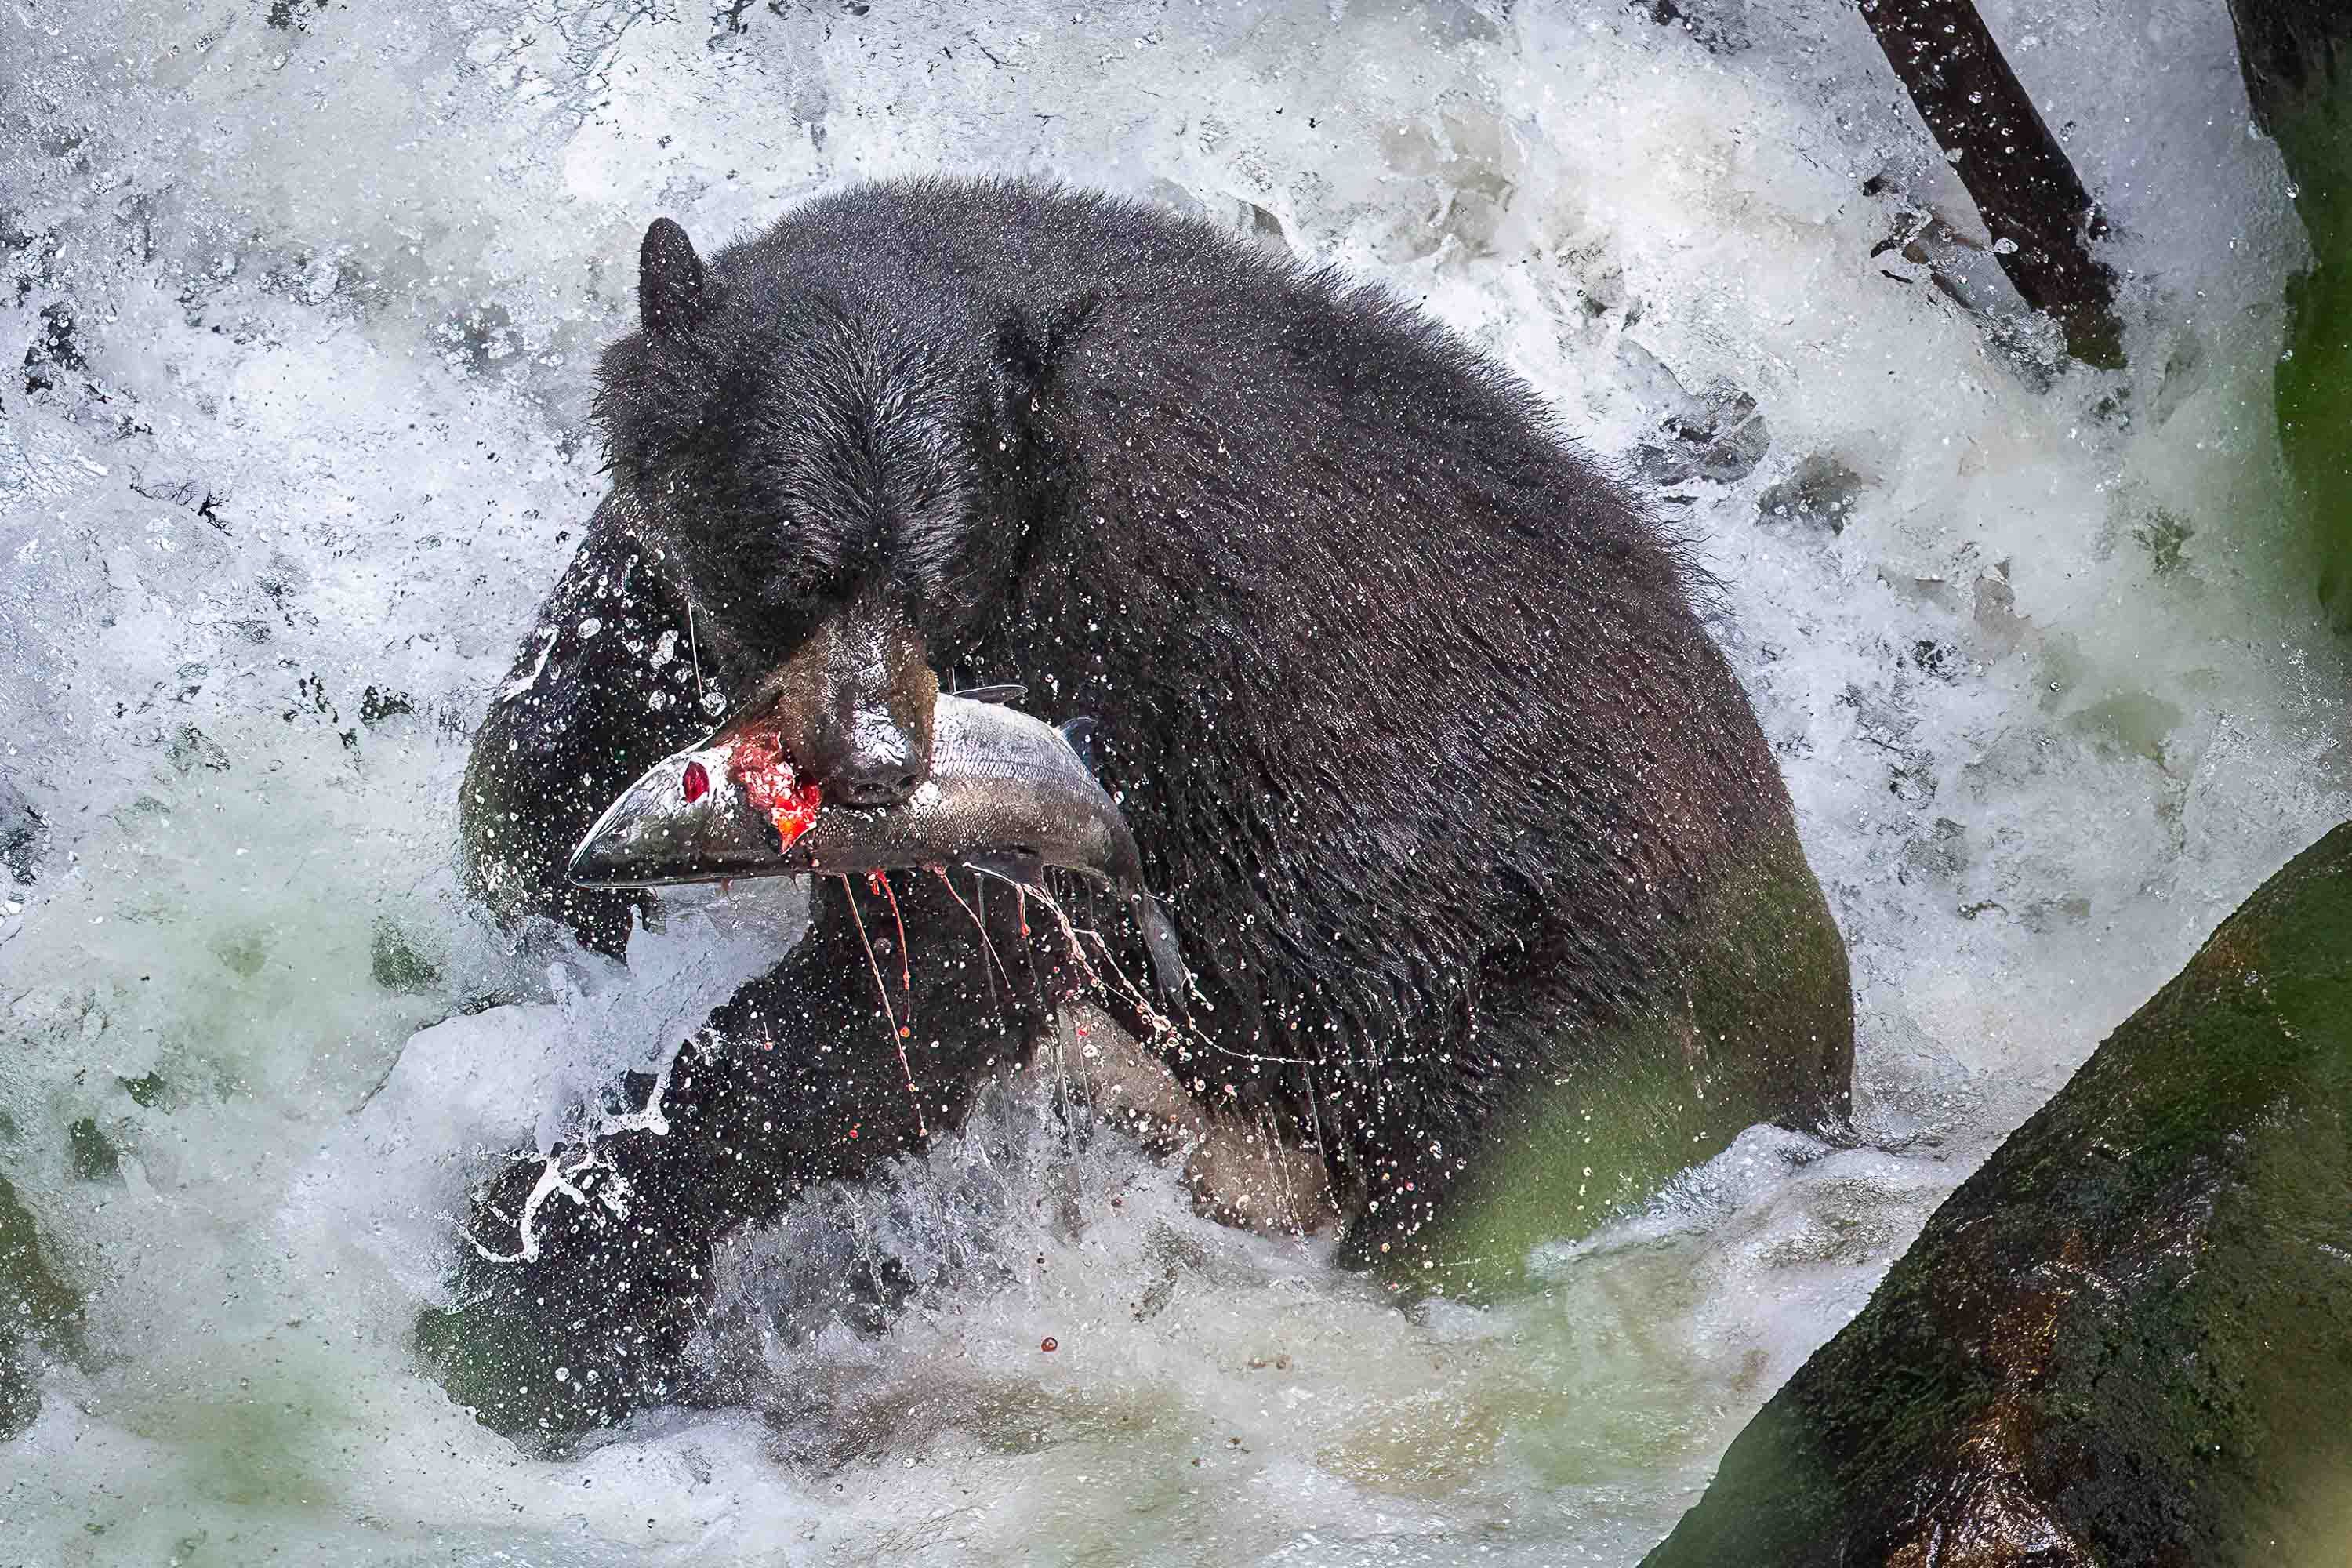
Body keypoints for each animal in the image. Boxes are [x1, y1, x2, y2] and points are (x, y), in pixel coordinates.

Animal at [423, 178, 1854, 1443]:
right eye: (795, 571)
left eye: (935, 583)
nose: (878, 765)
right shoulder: (678, 589)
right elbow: (574, 705)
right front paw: (554, 909)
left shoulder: (1099, 671)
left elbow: (921, 992)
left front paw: (534, 1295)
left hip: (1554, 1015)